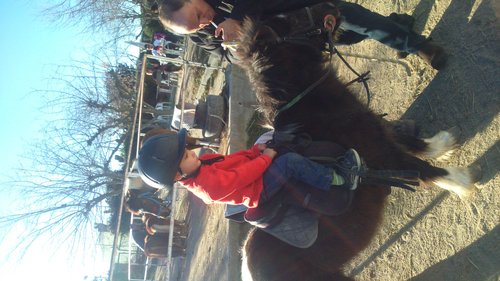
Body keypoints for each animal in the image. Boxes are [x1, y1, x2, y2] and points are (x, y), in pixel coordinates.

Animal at [234, 3, 476, 278]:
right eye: (289, 20)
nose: (331, 6)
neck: (315, 108)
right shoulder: (377, 148)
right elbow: (420, 167)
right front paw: (463, 181)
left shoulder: (374, 127)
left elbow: (408, 141)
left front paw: (444, 144)